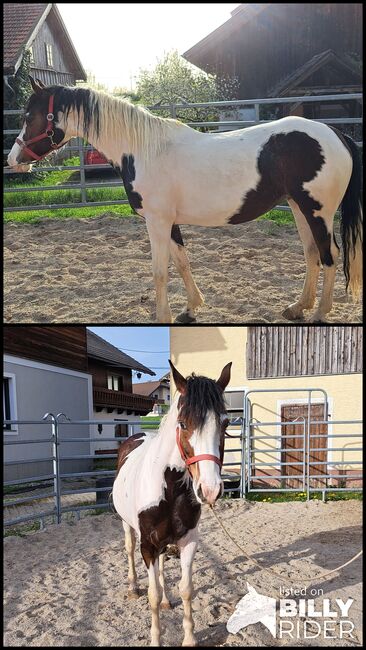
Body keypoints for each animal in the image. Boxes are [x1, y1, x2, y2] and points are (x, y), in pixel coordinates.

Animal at [8, 76, 364, 322]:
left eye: (29, 116)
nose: (13, 159)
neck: (143, 150)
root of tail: (336, 134)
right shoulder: (170, 222)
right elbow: (182, 262)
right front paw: (192, 308)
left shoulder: (157, 221)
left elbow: (160, 271)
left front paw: (163, 316)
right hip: (297, 206)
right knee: (311, 254)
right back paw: (298, 307)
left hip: (318, 211)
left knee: (330, 255)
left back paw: (320, 312)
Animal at [112, 360, 232, 644]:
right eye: (183, 424)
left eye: (225, 423)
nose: (210, 490)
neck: (168, 489)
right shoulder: (147, 546)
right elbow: (152, 595)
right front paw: (156, 639)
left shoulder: (188, 541)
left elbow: (186, 588)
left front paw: (189, 638)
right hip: (127, 526)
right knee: (129, 551)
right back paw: (133, 587)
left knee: (163, 570)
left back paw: (167, 600)